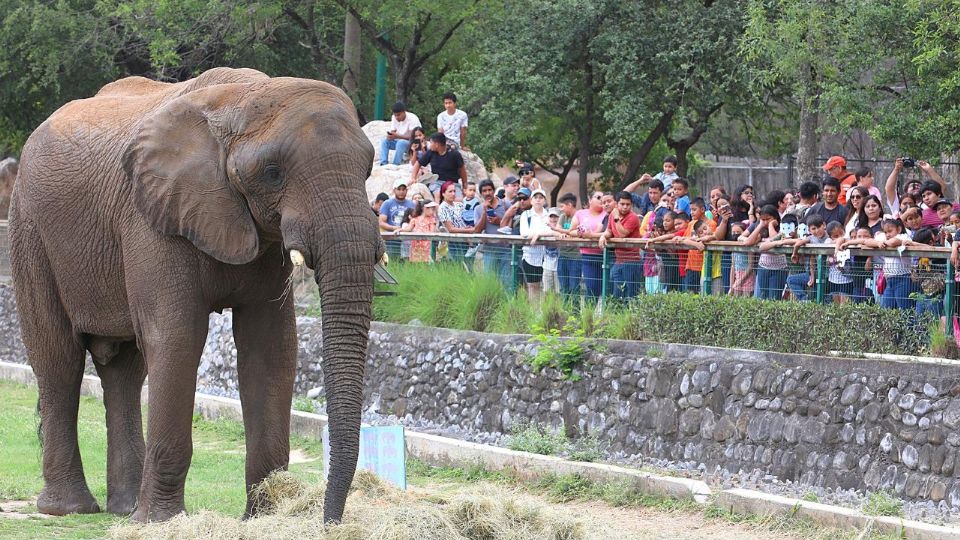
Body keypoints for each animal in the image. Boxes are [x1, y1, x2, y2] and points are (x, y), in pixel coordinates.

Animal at [10, 67, 382, 524]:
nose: (330, 521)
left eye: (367, 169)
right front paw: (160, 521)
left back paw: (124, 508)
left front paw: (263, 515)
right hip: (29, 230)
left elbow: (271, 345)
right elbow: (177, 337)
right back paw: (70, 510)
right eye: (273, 172)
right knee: (59, 360)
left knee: (124, 369)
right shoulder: (152, 218)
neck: (240, 98)